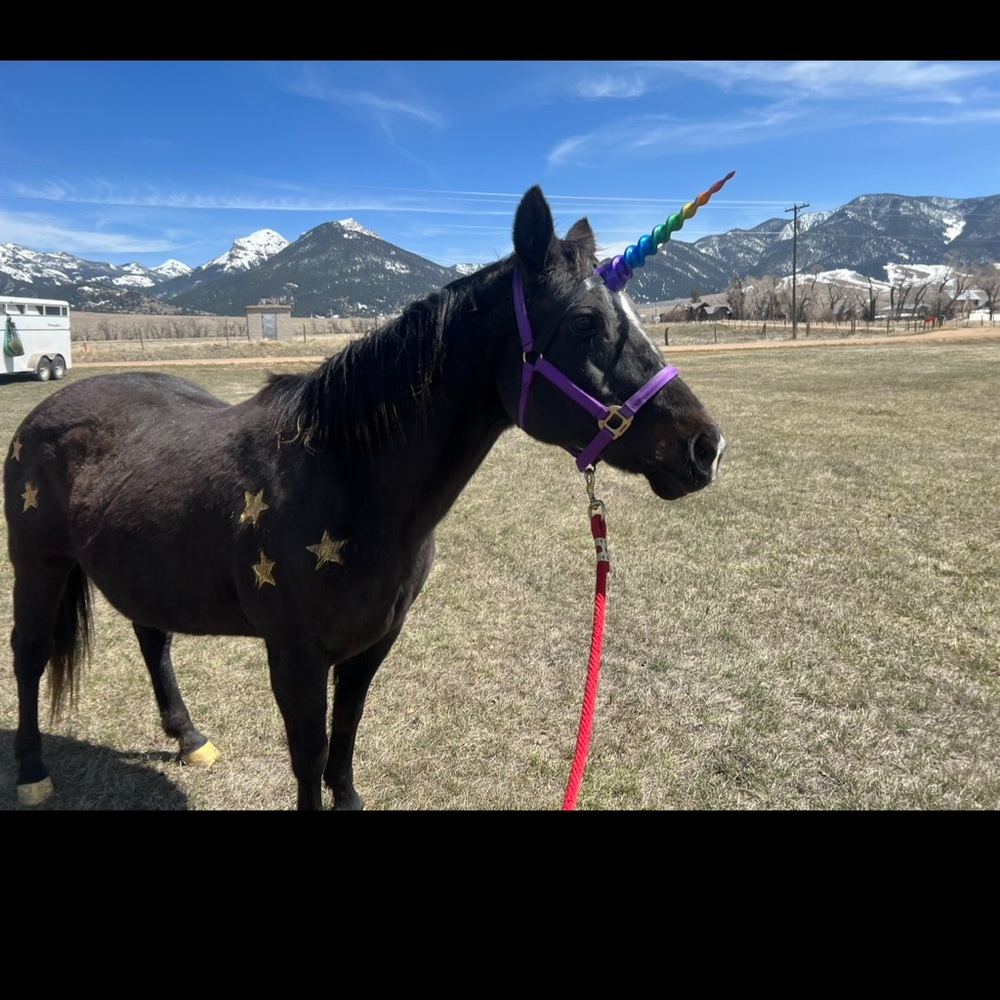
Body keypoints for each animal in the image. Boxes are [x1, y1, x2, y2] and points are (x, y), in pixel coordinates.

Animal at [5, 185, 726, 810]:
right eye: (582, 322)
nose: (706, 447)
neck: (342, 473)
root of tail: (47, 409)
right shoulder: (295, 658)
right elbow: (309, 754)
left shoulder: (371, 645)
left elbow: (346, 737)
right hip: (39, 566)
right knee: (29, 653)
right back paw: (33, 773)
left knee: (153, 640)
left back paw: (190, 738)